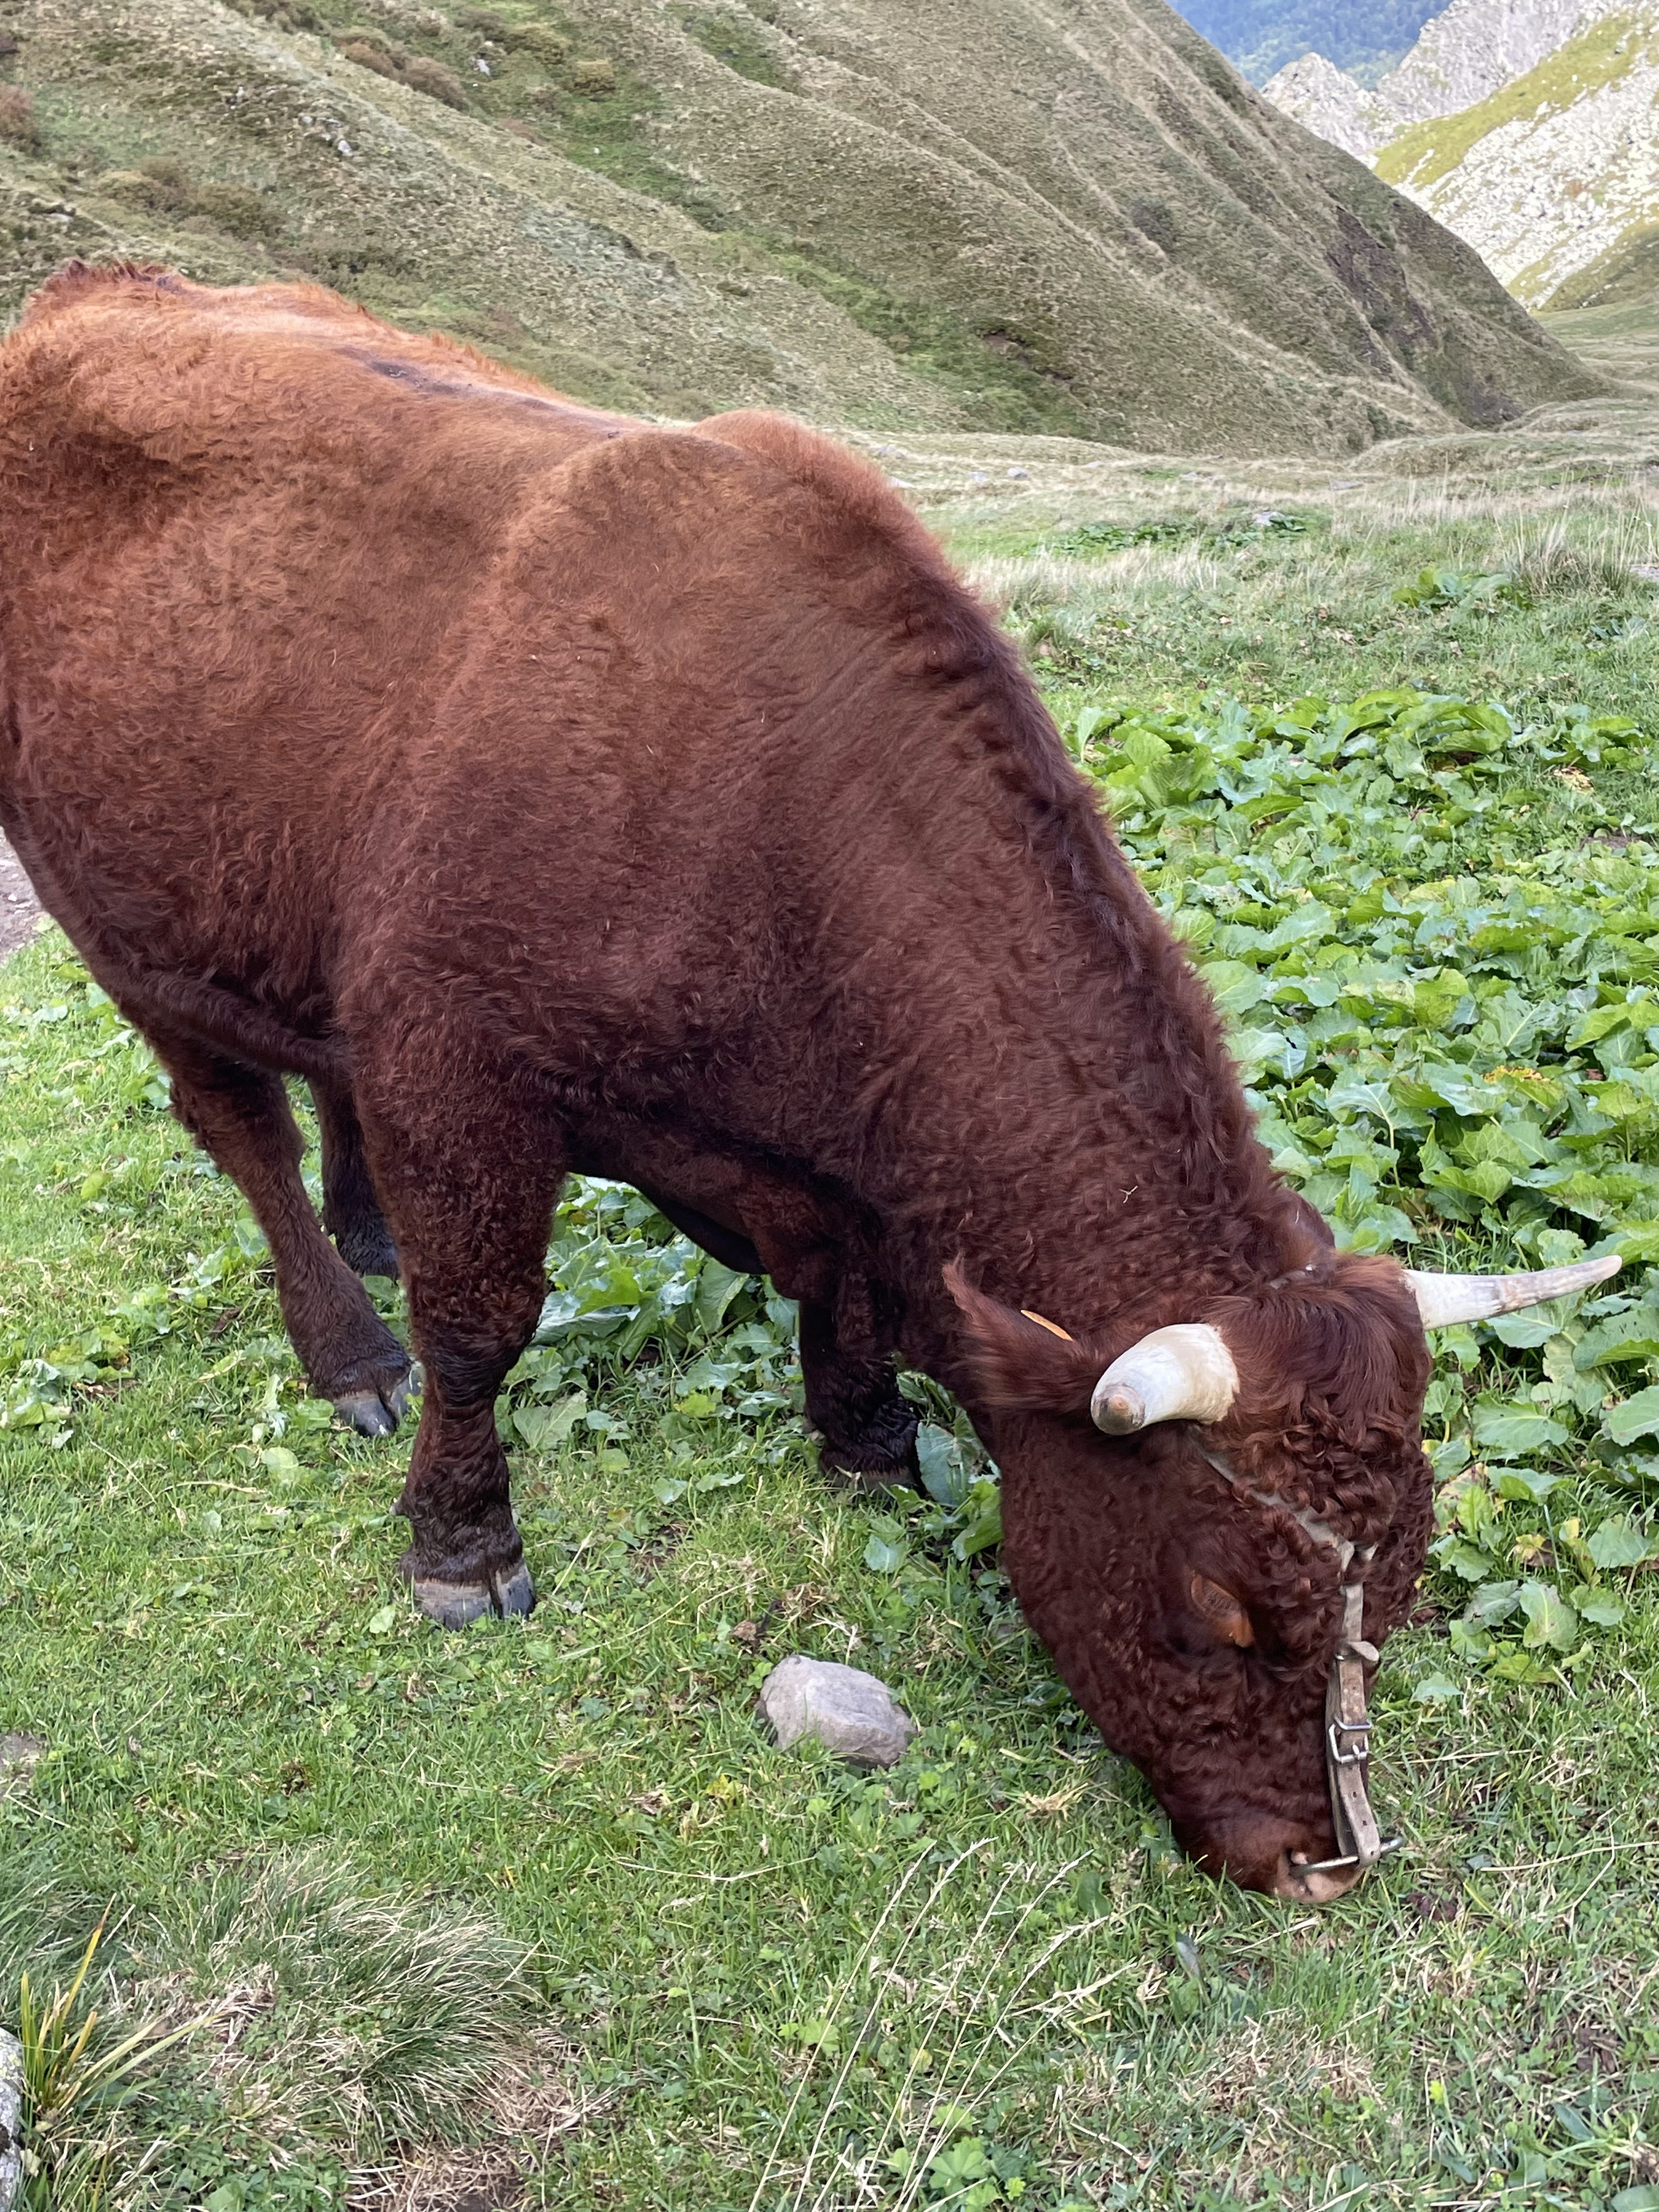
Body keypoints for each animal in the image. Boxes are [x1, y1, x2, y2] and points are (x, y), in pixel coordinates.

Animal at [0, 265, 1612, 1900]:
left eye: (1403, 1582)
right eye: (1220, 1607)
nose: (1320, 1866)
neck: (760, 809)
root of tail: (99, 288)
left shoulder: (798, 1161)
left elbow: (836, 1293)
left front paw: (873, 1442)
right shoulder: (453, 1066)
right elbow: (480, 1330)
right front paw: (463, 1546)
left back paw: (369, 1228)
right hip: (114, 913)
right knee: (243, 1134)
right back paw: (351, 1347)